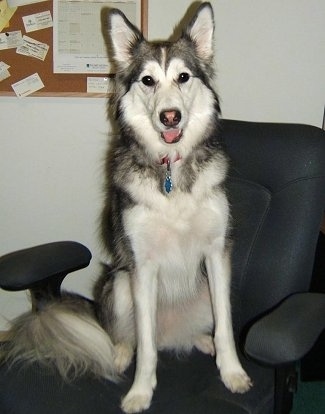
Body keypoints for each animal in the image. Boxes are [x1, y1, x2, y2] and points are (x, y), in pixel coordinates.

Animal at [0, 3, 251, 414]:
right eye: (148, 81)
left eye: (183, 77)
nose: (170, 116)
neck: (170, 170)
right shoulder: (141, 265)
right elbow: (145, 346)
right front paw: (140, 391)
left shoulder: (217, 253)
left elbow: (227, 328)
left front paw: (231, 372)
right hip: (118, 283)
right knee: (132, 336)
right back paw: (118, 353)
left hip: (200, 290)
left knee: (193, 330)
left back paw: (202, 341)